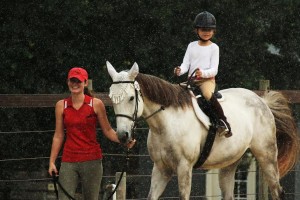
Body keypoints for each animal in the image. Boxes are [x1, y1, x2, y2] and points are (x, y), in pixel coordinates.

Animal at [105, 61, 298, 199]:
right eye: (112, 99)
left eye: (131, 98)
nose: (123, 136)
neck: (166, 123)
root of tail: (261, 101)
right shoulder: (160, 169)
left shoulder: (184, 167)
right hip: (230, 163)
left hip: (267, 155)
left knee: (277, 191)